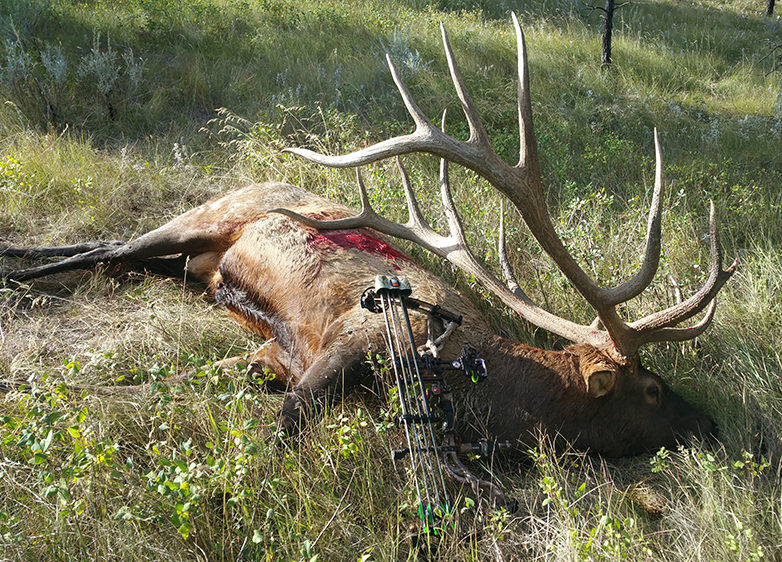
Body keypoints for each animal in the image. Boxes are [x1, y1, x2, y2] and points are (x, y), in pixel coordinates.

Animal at [0, 16, 736, 460]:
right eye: (652, 390)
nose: (710, 422)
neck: (476, 379)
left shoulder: (271, 352)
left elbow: (169, 380)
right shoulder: (350, 342)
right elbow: (282, 429)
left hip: (192, 264)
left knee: (105, 254)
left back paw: (15, 258)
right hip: (205, 217)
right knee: (107, 249)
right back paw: (15, 273)